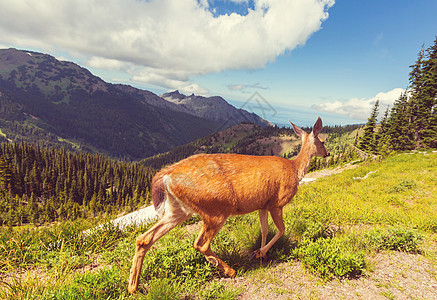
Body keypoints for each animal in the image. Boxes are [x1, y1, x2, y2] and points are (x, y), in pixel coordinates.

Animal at [127, 116, 328, 292]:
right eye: (323, 141)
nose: (328, 153)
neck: (295, 169)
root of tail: (166, 175)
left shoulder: (262, 205)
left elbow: (264, 229)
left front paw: (260, 253)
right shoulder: (276, 202)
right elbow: (281, 229)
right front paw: (260, 252)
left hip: (178, 209)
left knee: (144, 238)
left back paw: (133, 287)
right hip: (215, 208)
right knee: (200, 243)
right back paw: (230, 270)